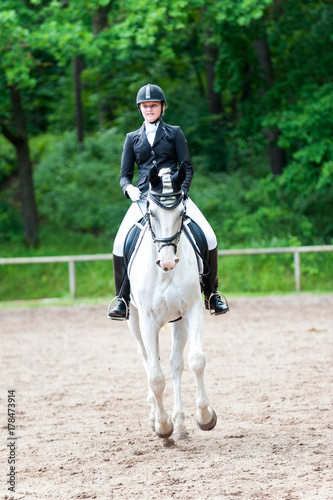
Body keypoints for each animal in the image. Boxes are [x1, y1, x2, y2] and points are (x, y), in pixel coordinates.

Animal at [124, 166, 215, 440]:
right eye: (151, 213)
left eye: (182, 213)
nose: (167, 262)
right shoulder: (148, 320)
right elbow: (155, 377)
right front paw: (163, 427)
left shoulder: (191, 311)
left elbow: (196, 360)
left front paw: (205, 417)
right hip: (134, 321)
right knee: (147, 360)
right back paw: (155, 418)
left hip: (178, 321)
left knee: (176, 366)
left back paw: (181, 425)